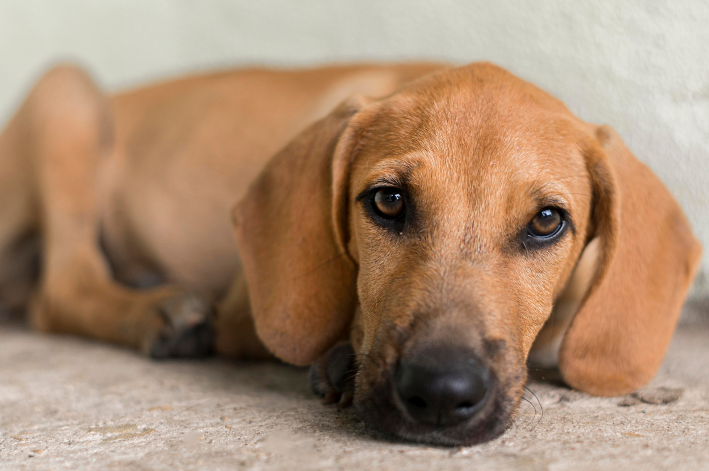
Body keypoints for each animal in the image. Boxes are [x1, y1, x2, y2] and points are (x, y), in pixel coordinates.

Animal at [0, 61, 696, 446]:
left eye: (548, 221)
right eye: (387, 201)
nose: (441, 395)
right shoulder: (244, 306)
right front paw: (339, 358)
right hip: (68, 97)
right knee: (61, 286)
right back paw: (159, 311)